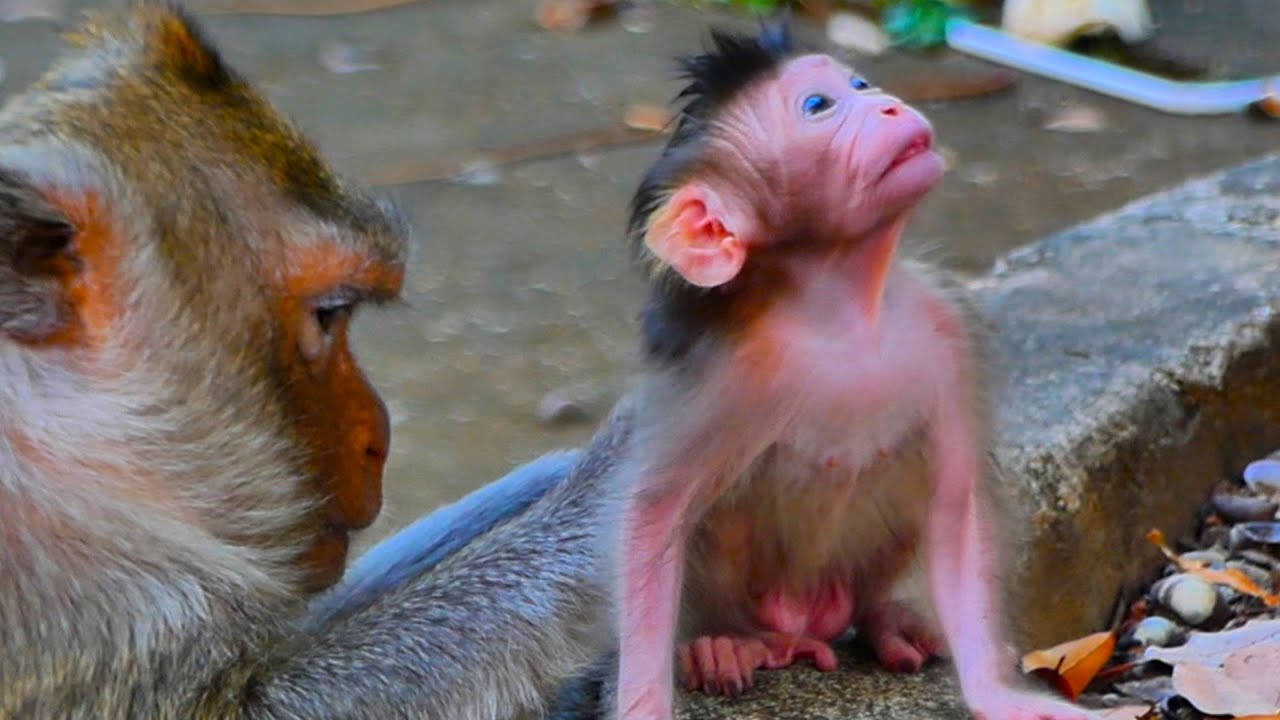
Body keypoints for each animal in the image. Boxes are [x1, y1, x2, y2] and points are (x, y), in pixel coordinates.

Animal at [599, 24, 1103, 720]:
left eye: (861, 84)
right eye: (819, 105)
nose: (887, 105)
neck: (840, 312)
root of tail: (810, 620)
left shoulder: (948, 329)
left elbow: (956, 502)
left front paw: (1000, 695)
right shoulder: (721, 372)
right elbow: (653, 516)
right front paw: (646, 702)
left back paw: (890, 622)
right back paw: (724, 645)